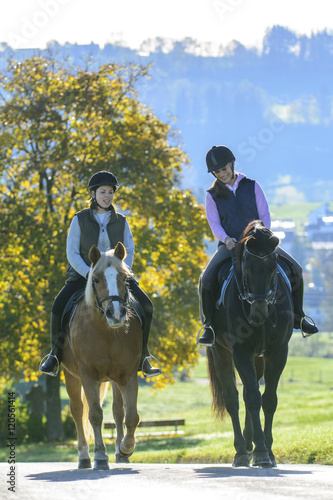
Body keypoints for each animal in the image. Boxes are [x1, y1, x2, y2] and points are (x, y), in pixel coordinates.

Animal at [61, 242, 141, 468]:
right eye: (95, 279)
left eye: (124, 278)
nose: (116, 314)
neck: (106, 332)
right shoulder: (88, 376)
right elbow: (95, 415)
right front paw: (100, 455)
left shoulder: (128, 375)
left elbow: (131, 416)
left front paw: (125, 448)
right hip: (70, 376)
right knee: (78, 410)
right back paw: (84, 456)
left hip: (113, 379)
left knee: (117, 411)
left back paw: (120, 454)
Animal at [208, 221, 294, 466]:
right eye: (246, 269)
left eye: (274, 269)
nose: (258, 313)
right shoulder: (240, 352)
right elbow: (253, 398)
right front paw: (262, 452)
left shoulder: (278, 353)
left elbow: (269, 400)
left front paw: (268, 451)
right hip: (222, 353)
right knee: (233, 398)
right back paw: (241, 451)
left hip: (258, 359)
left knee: (249, 391)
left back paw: (249, 445)